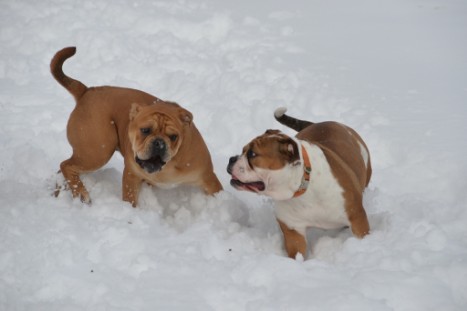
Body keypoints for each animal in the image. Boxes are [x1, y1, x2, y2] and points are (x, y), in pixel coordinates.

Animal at [50, 47, 222, 207]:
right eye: (145, 130)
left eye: (173, 137)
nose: (159, 143)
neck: (166, 168)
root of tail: (87, 91)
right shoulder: (131, 175)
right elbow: (130, 198)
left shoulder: (207, 178)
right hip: (97, 151)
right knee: (66, 165)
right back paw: (80, 193)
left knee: (64, 169)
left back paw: (60, 193)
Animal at [228, 108, 372, 260]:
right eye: (243, 150)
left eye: (252, 154)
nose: (231, 159)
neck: (301, 185)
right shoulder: (294, 232)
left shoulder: (357, 220)